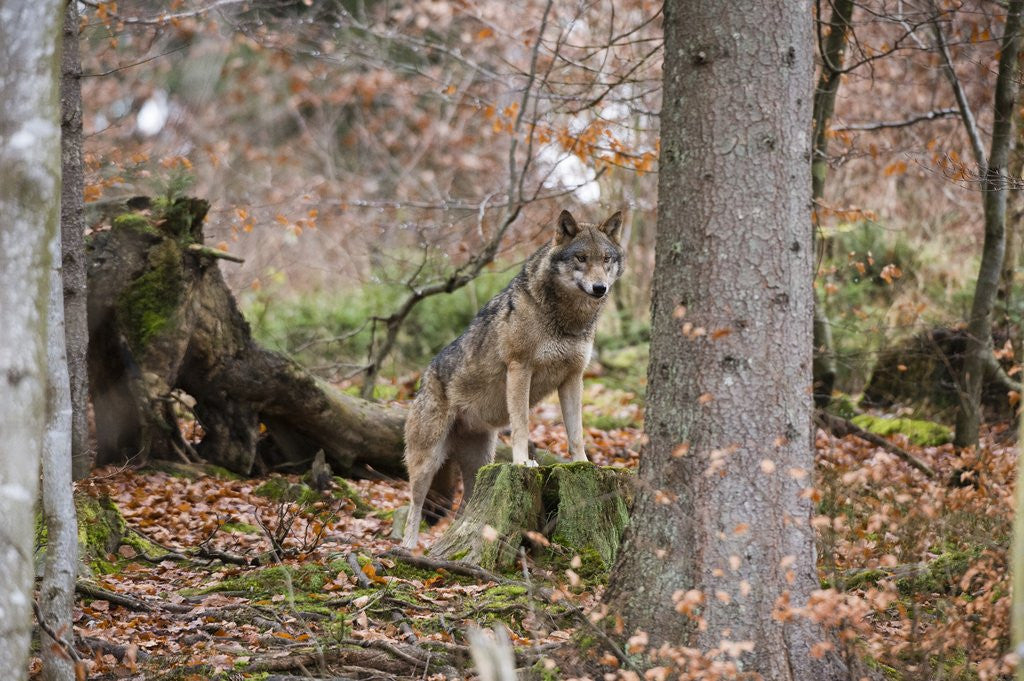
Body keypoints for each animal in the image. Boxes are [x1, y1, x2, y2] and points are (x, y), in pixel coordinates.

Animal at [400, 209, 625, 549]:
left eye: (606, 259)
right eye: (581, 258)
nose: (600, 288)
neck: (567, 319)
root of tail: (422, 380)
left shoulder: (573, 377)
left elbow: (576, 432)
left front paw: (584, 463)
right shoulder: (520, 369)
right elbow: (522, 424)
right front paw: (522, 462)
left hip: (480, 462)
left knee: (465, 507)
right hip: (428, 461)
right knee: (414, 504)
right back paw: (409, 548)